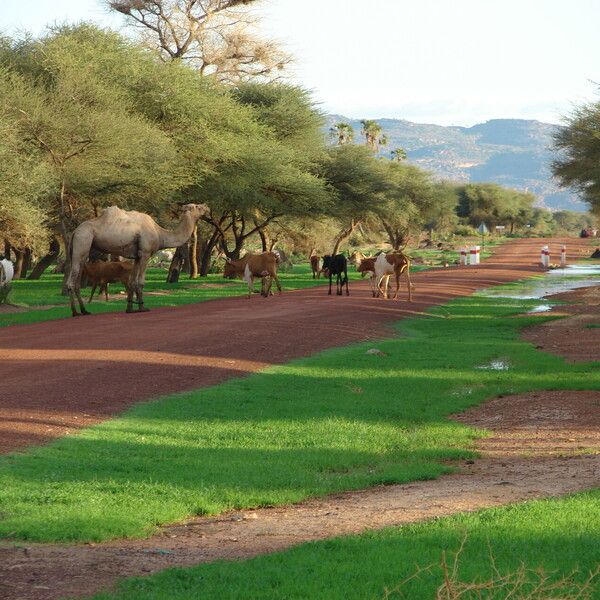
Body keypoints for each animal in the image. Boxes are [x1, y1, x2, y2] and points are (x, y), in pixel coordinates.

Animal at [66, 204, 209, 316]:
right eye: (197, 206)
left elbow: (131, 282)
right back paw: (75, 312)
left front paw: (130, 309)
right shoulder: (145, 254)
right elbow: (140, 282)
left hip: (82, 248)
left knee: (77, 281)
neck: (160, 234)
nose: (206, 207)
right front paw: (142, 307)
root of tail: (74, 232)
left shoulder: (136, 257)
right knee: (71, 281)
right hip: (83, 240)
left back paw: (84, 311)